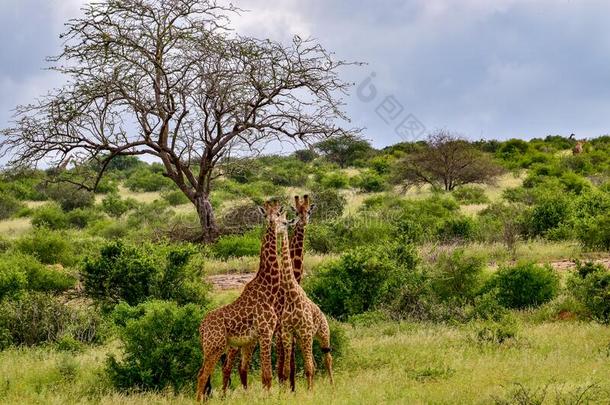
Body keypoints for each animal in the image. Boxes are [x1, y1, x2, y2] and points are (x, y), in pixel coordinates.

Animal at [196, 200, 284, 400]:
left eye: (278, 213)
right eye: (266, 214)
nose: (273, 222)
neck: (269, 288)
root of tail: (202, 326)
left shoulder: (257, 337)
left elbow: (263, 374)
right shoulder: (265, 332)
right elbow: (267, 374)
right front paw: (268, 397)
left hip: (212, 347)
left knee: (202, 373)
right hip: (216, 346)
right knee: (203, 374)